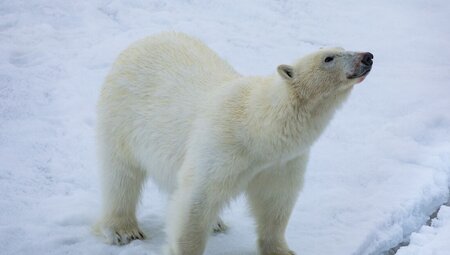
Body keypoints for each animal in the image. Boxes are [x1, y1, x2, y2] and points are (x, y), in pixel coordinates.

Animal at [94, 32, 372, 255]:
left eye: (343, 46)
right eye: (328, 58)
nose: (367, 56)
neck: (258, 130)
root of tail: (141, 41)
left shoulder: (281, 163)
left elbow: (276, 201)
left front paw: (281, 250)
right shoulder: (222, 145)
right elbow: (198, 197)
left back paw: (216, 222)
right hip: (123, 115)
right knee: (121, 174)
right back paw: (123, 230)